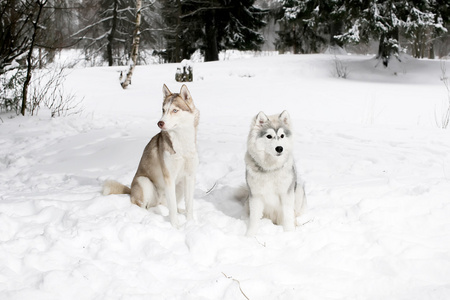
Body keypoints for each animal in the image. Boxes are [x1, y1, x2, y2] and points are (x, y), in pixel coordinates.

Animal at [104, 84, 200, 227]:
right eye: (163, 110)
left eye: (175, 110)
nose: (160, 123)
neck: (182, 143)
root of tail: (131, 191)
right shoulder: (169, 177)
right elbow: (172, 210)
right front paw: (176, 227)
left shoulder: (189, 176)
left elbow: (189, 206)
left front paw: (190, 224)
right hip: (144, 182)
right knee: (145, 206)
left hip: (179, 185)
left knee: (166, 205)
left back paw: (177, 210)